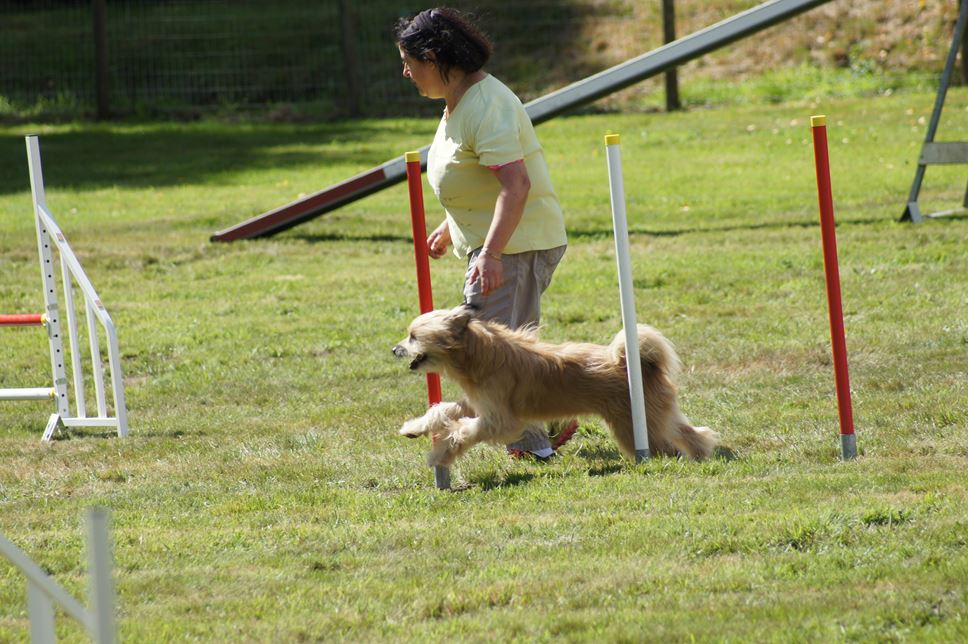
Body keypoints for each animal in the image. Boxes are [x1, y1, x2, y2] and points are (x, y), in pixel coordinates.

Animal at [394, 304, 720, 470]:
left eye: (413, 336)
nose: (394, 349)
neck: (479, 352)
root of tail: (635, 364)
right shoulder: (477, 403)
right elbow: (442, 410)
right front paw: (413, 427)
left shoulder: (500, 419)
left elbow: (461, 432)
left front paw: (439, 456)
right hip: (656, 415)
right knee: (689, 432)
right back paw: (701, 453)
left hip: (632, 426)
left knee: (665, 445)